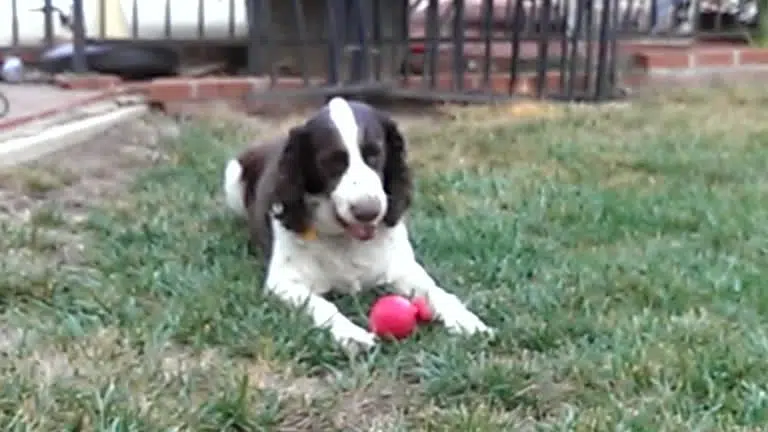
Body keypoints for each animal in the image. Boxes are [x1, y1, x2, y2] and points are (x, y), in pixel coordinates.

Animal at [220, 96, 492, 350]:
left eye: (376, 154)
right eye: (331, 162)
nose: (368, 212)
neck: (347, 239)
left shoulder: (403, 268)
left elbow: (437, 292)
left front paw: (465, 320)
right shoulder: (283, 283)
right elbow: (322, 305)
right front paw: (351, 334)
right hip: (232, 175)